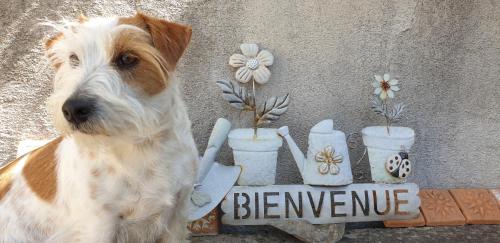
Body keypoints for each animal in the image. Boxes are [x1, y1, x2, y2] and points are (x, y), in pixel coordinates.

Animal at [0, 13, 199, 243]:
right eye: (74, 58)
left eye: (127, 59)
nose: (72, 109)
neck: (141, 146)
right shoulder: (98, 227)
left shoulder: (177, 215)